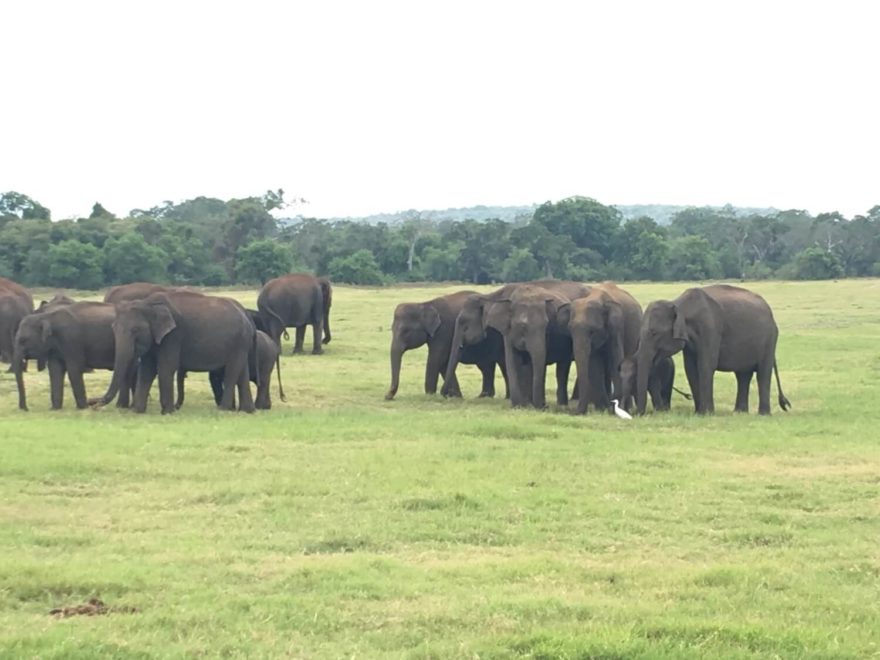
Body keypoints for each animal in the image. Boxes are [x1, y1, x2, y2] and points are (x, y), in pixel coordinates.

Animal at [96, 288, 256, 412]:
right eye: (113, 328)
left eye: (135, 330)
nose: (94, 404)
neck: (148, 303)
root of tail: (246, 317)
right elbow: (147, 369)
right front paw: (137, 411)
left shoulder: (174, 335)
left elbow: (166, 366)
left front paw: (167, 412)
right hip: (241, 343)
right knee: (242, 371)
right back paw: (247, 411)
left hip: (239, 341)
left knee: (232, 371)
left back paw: (223, 409)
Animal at [568, 282, 644, 412]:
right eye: (571, 330)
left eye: (592, 331)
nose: (576, 413)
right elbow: (594, 364)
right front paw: (602, 409)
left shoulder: (617, 326)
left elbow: (616, 360)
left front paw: (615, 408)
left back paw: (627, 407)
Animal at [636, 284, 796, 418]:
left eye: (654, 333)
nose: (640, 414)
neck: (679, 304)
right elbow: (691, 369)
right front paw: (698, 413)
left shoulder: (710, 329)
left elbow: (706, 365)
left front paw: (707, 414)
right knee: (743, 375)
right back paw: (739, 413)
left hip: (770, 339)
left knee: (763, 373)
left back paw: (763, 414)